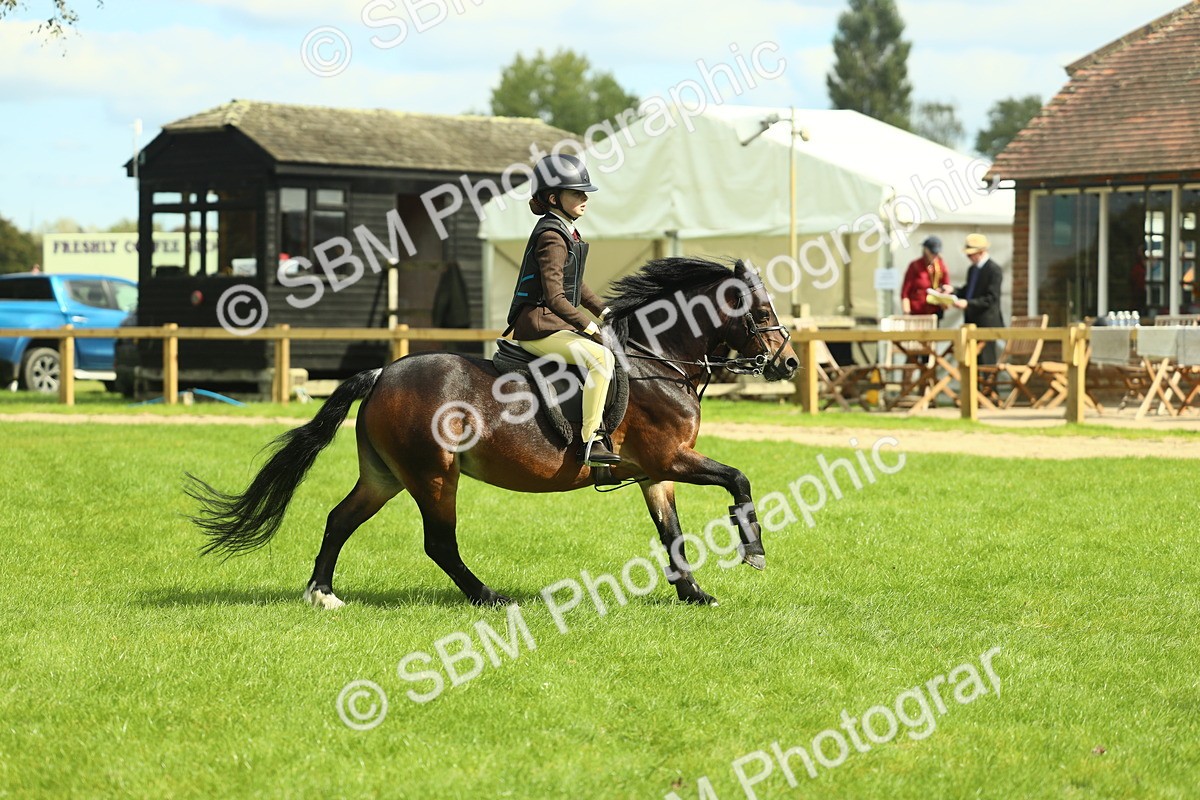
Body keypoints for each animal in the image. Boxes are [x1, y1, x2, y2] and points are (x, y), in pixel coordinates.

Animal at [187, 257, 799, 607]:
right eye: (761, 309)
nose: (789, 363)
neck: (659, 358)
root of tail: (383, 373)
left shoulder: (656, 472)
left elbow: (671, 532)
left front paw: (694, 594)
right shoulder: (671, 458)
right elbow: (739, 480)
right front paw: (753, 550)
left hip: (385, 476)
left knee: (340, 518)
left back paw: (323, 594)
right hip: (435, 476)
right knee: (439, 543)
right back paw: (488, 597)